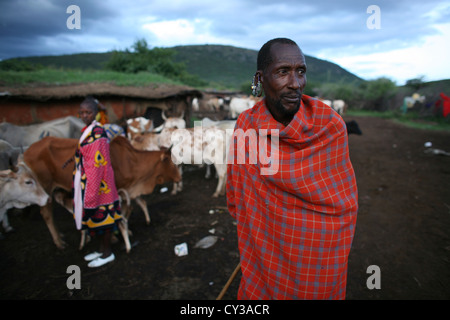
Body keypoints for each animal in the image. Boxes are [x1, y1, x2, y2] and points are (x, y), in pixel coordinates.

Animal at [23, 135, 181, 250]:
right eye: (170, 161)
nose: (179, 177)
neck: (131, 161)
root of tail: (27, 152)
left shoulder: (126, 192)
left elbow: (128, 210)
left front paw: (126, 232)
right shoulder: (115, 193)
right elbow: (116, 215)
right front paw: (114, 237)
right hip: (44, 189)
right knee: (46, 213)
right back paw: (59, 241)